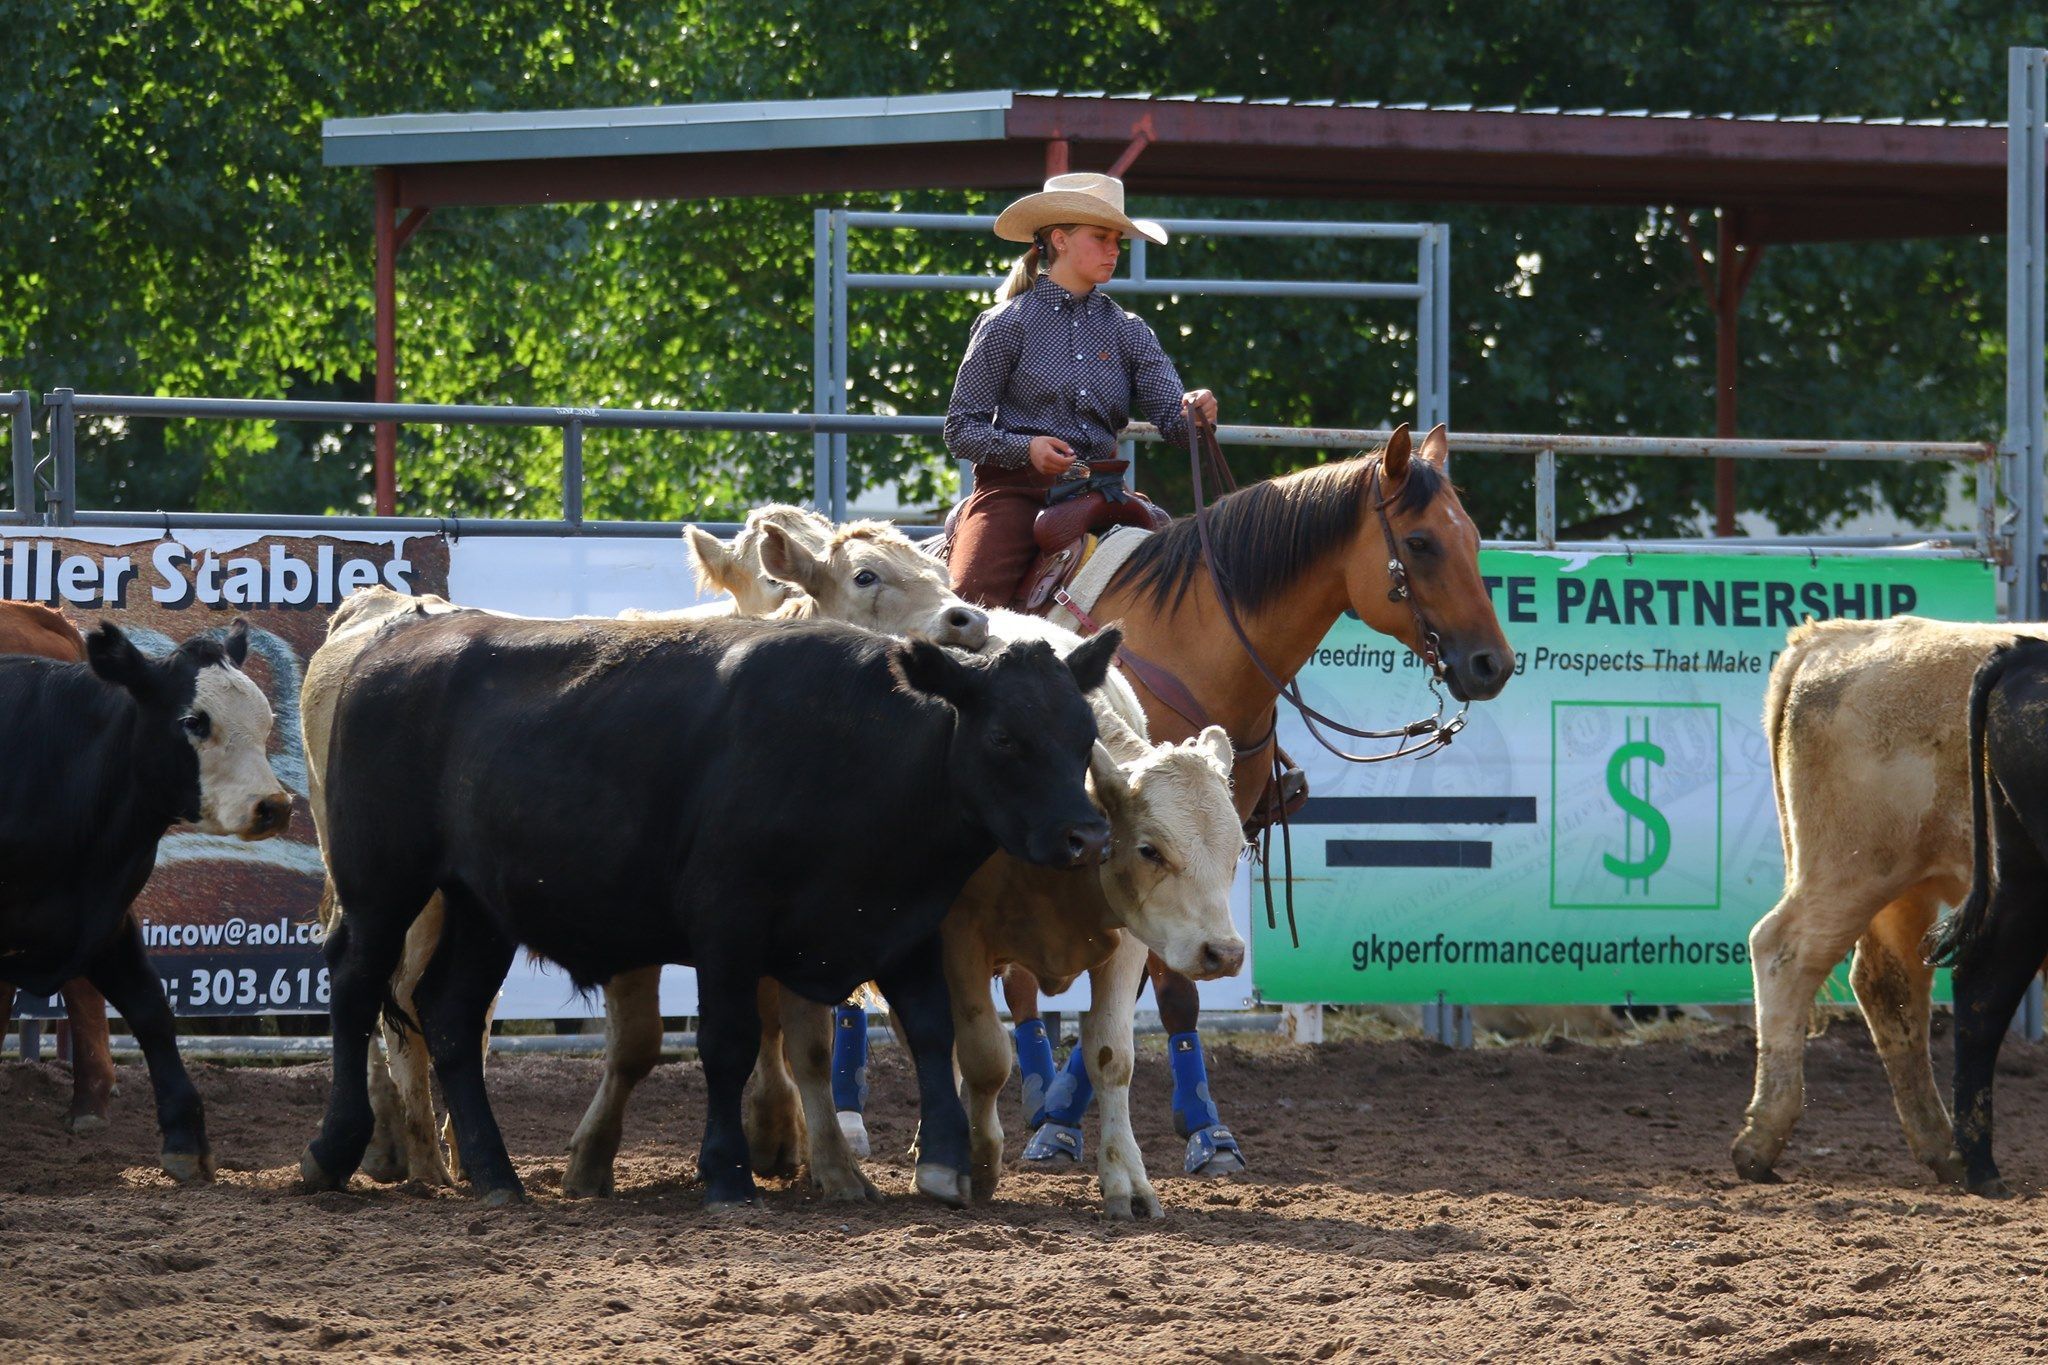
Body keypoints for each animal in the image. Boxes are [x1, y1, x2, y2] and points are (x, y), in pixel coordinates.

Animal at [0, 622, 292, 1186]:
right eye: (194, 721)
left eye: (266, 720)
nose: (275, 806)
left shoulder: (104, 919)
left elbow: (150, 1009)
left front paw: (185, 1138)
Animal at [299, 613, 1122, 1203]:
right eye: (1006, 737)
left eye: (1084, 735)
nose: (1087, 833)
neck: (865, 750)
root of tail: (396, 642)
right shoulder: (728, 923)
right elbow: (727, 1043)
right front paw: (725, 1172)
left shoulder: (901, 922)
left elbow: (929, 1029)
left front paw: (946, 1164)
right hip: (381, 883)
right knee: (354, 986)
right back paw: (331, 1151)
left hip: (480, 906)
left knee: (449, 1014)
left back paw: (496, 1173)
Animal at [1728, 618, 2048, 1186]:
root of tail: (1834, 637)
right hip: (1855, 868)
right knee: (1784, 951)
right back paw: (1762, 1137)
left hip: (1910, 885)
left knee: (1890, 981)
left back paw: (1945, 1149)